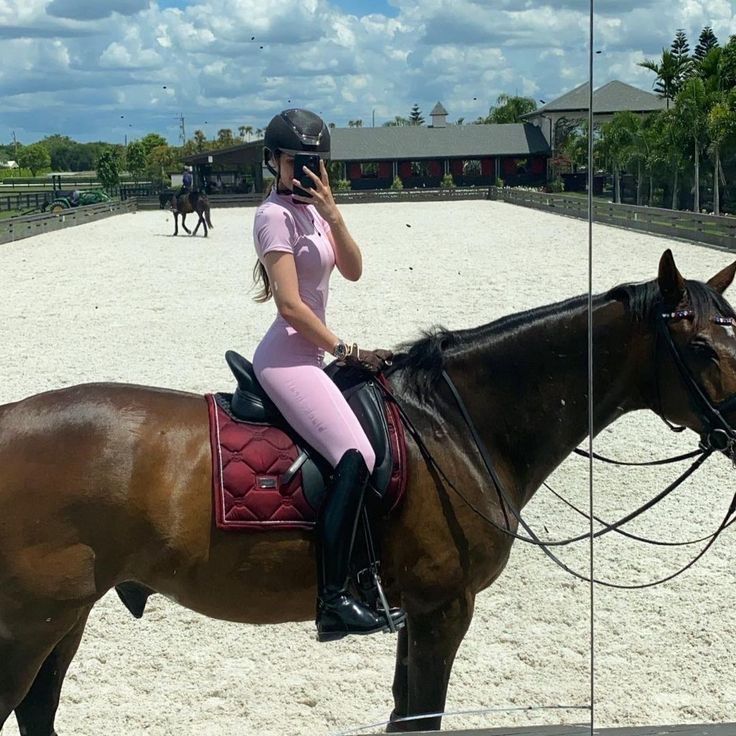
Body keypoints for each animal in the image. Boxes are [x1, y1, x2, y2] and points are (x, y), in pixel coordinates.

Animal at [1, 250, 736, 732]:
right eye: (702, 349)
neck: (454, 422)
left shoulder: (418, 610)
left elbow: (402, 713)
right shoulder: (444, 607)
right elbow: (420, 718)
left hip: (67, 616)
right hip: (30, 624)